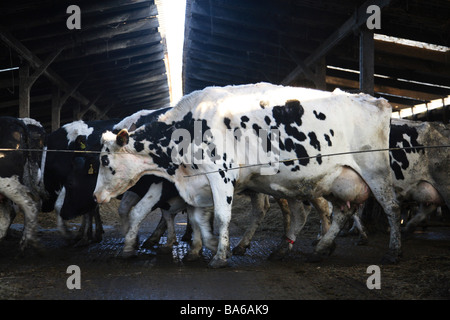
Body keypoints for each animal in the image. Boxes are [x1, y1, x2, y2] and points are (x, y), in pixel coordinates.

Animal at [93, 82, 402, 268]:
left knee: (391, 206)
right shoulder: (197, 184)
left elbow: (221, 216)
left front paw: (219, 256)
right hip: (334, 180)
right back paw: (315, 248)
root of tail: (374, 100)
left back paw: (392, 251)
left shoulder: (221, 174)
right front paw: (206, 247)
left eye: (105, 159)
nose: (95, 195)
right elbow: (197, 218)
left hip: (374, 170)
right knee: (337, 213)